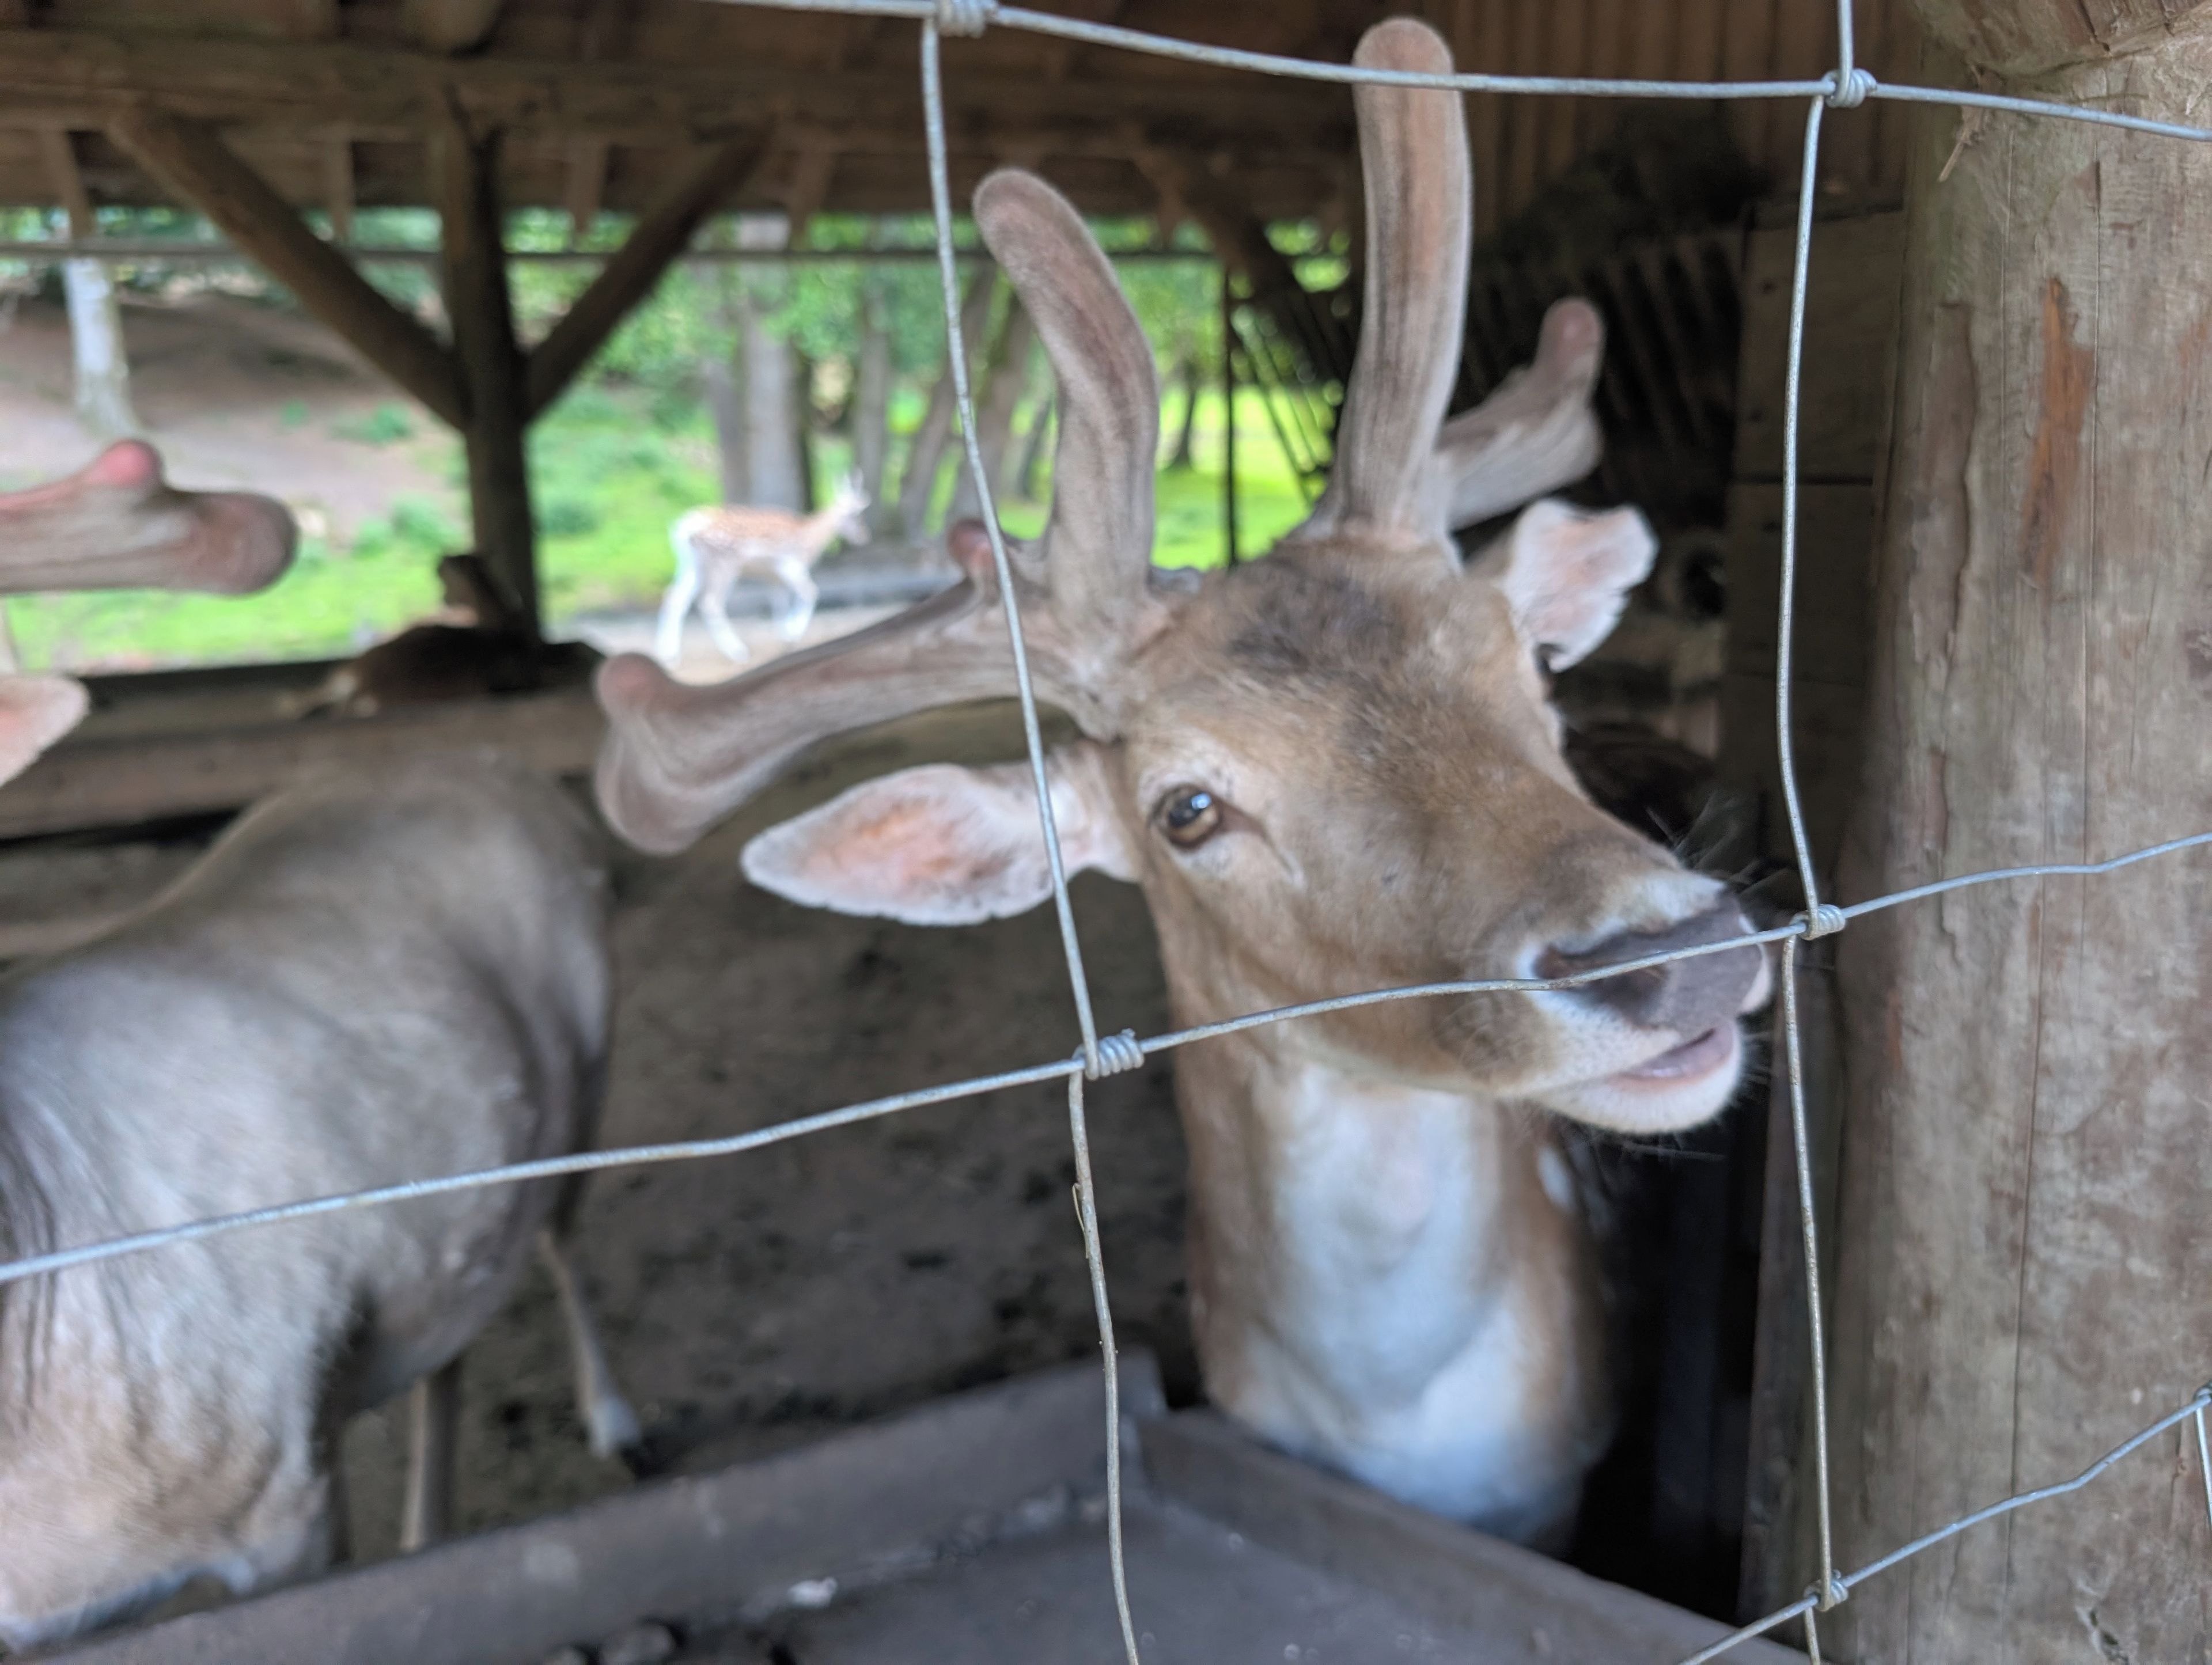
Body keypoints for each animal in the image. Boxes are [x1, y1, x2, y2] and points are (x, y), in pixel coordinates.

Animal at [0, 446, 640, 1651]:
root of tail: (478, 754)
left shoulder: (276, 1500)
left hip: (593, 1053)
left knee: (567, 1237)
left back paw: (620, 1425)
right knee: (453, 1325)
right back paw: (432, 1530)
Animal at [656, 473, 870, 669]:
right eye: (855, 515)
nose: (863, 536)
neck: (810, 540)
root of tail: (685, 528)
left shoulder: (773, 576)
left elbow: (780, 601)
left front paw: (785, 637)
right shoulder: (790, 564)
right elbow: (811, 592)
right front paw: (792, 633)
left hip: (692, 565)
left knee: (675, 597)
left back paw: (668, 656)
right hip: (724, 563)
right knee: (710, 603)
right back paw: (738, 652)